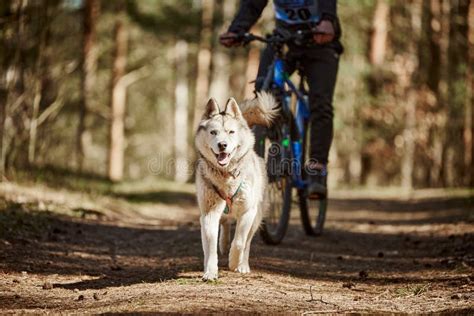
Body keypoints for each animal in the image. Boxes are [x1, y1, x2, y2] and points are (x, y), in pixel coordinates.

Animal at [195, 92, 278, 282]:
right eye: (213, 132)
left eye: (231, 132)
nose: (222, 145)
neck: (226, 177)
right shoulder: (209, 213)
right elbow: (210, 246)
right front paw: (210, 271)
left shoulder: (248, 212)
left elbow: (240, 241)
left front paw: (234, 262)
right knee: (224, 224)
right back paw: (223, 244)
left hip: (257, 216)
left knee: (247, 241)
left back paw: (242, 265)